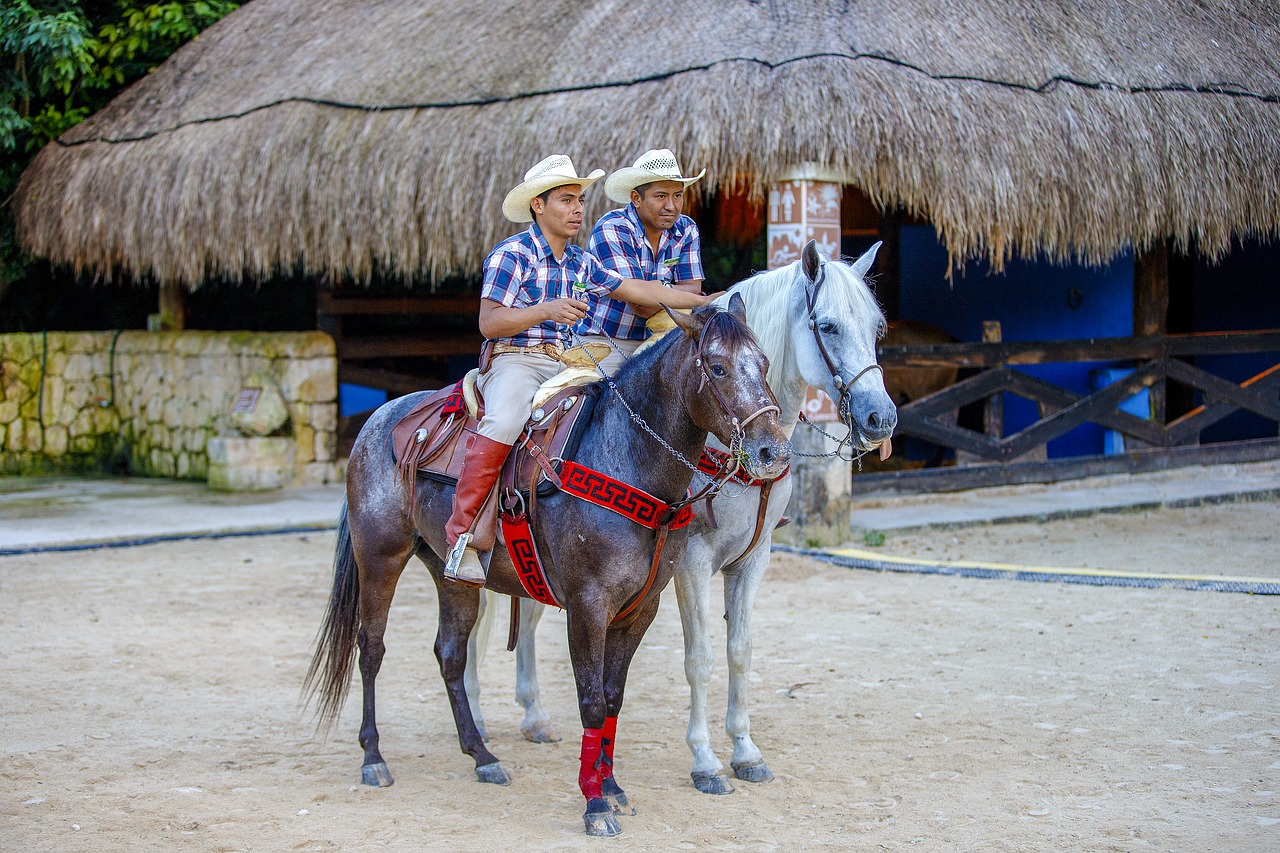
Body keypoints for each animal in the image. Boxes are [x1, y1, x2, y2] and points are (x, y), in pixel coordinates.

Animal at [305, 295, 793, 835]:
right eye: (718, 366)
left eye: (764, 364)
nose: (773, 451)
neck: (625, 459)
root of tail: (376, 420)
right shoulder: (588, 607)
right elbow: (590, 700)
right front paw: (595, 804)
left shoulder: (639, 610)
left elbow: (612, 698)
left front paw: (611, 787)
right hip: (380, 558)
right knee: (371, 649)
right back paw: (373, 758)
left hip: (453, 577)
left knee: (450, 655)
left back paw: (482, 756)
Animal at [465, 236, 896, 788]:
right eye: (829, 325)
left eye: (876, 327)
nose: (879, 417)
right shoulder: (691, 562)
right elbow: (701, 658)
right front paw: (705, 760)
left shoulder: (753, 558)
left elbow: (740, 652)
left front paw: (746, 751)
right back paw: (478, 724)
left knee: (532, 613)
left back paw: (535, 717)